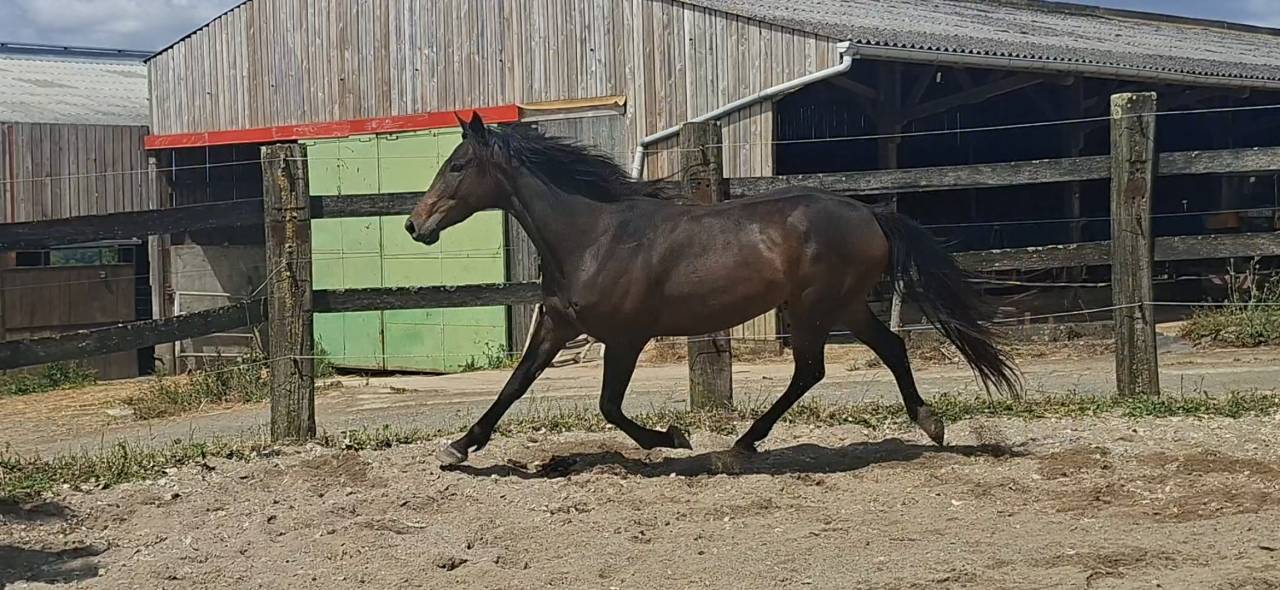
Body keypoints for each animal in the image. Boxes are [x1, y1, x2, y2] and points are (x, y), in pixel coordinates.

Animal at [406, 113, 1021, 466]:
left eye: (457, 165)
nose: (415, 225)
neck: (593, 236)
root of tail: (870, 214)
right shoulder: (559, 325)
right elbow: (515, 385)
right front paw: (459, 446)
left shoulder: (626, 338)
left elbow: (609, 407)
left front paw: (673, 438)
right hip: (844, 306)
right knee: (887, 348)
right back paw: (929, 424)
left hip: (815, 307)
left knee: (811, 370)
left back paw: (743, 444)